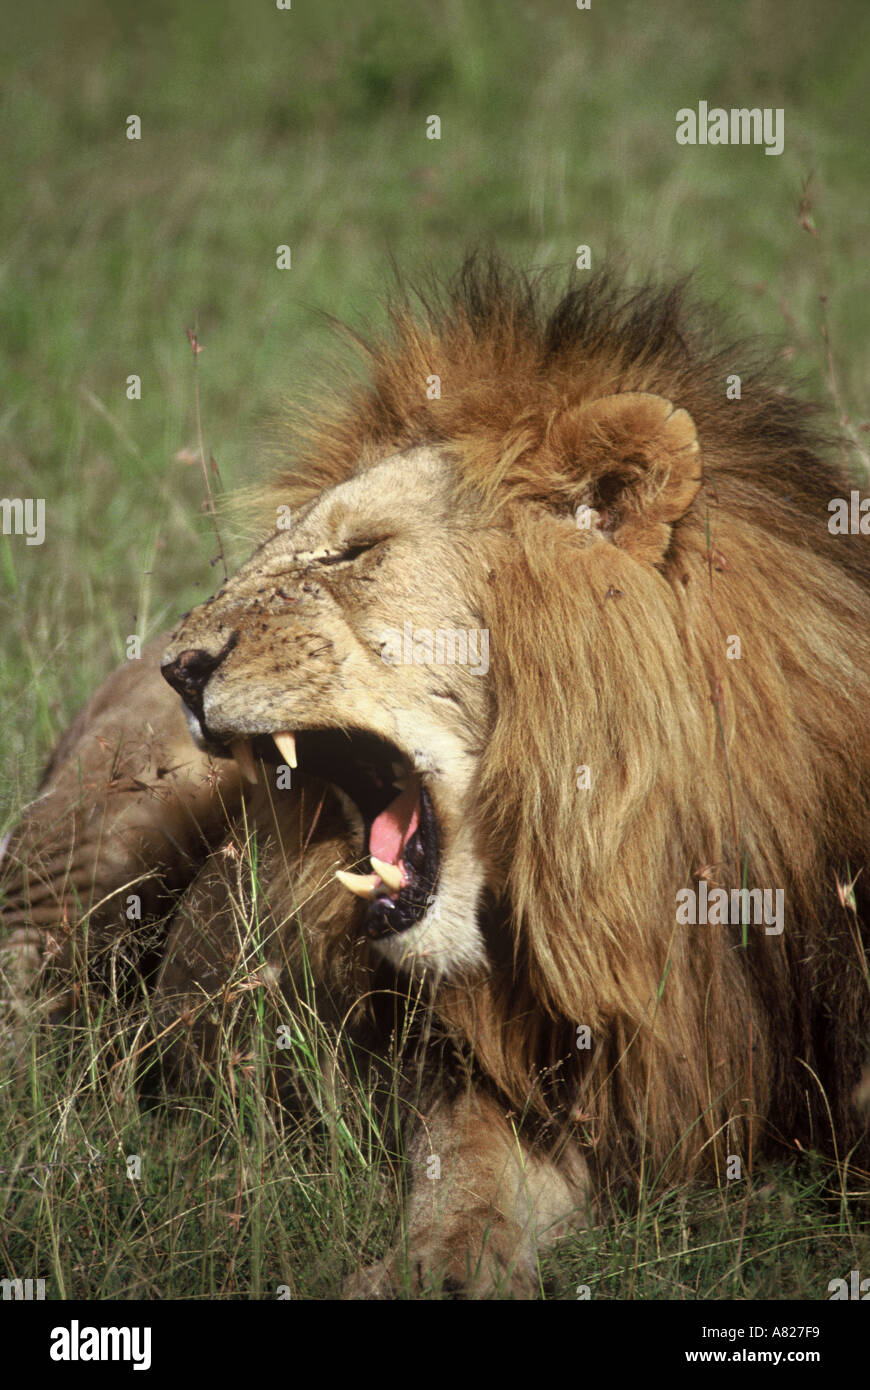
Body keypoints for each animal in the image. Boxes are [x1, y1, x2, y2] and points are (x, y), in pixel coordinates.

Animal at [3, 258, 870, 1297]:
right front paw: (442, 1267)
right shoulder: (503, 1069)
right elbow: (466, 1165)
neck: (627, 873)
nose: (181, 667)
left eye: (355, 552)